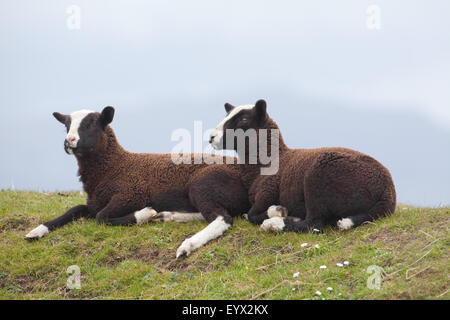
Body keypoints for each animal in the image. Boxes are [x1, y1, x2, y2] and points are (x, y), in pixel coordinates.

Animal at [25, 105, 250, 258]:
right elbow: (74, 209)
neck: (114, 166)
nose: (68, 141)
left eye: (90, 124)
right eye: (66, 126)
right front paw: (36, 231)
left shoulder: (131, 194)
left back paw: (187, 245)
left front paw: (144, 214)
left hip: (204, 183)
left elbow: (101, 217)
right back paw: (168, 216)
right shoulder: (94, 202)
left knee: (223, 218)